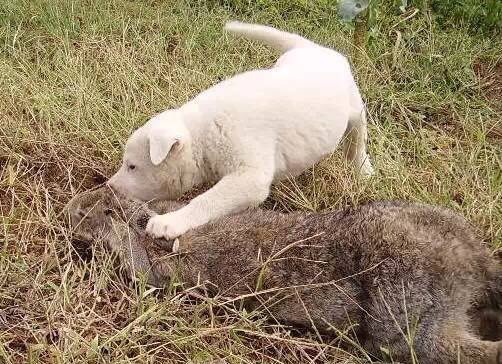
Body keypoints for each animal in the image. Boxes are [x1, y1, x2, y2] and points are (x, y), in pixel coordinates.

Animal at [108, 21, 372, 240]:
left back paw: (363, 169)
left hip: (355, 109)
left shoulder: (249, 175)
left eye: (132, 166)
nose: (109, 186)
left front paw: (169, 222)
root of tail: (314, 48)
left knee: (358, 138)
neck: (202, 131)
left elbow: (206, 200)